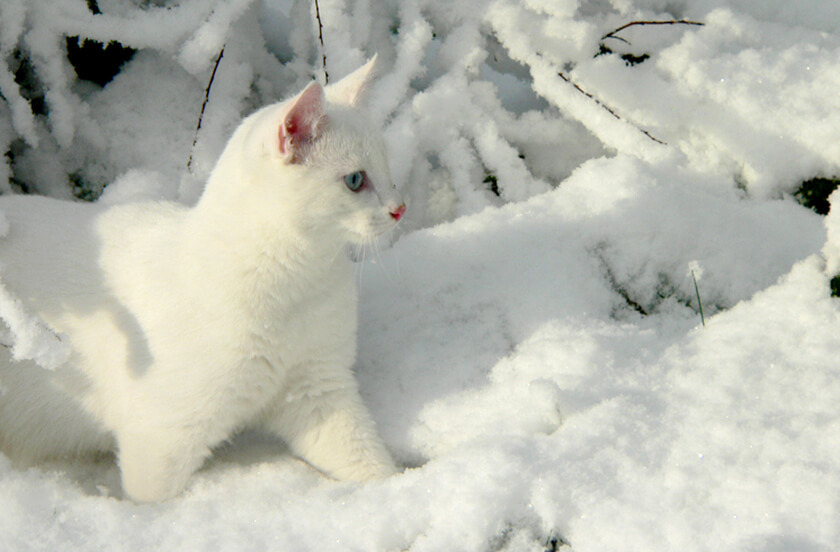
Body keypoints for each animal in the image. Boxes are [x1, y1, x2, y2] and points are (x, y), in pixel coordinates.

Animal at [0, 58, 404, 502]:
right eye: (355, 180)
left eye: (388, 169)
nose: (400, 208)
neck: (297, 286)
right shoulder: (161, 435)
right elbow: (152, 500)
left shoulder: (318, 388)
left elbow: (365, 459)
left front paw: (397, 490)